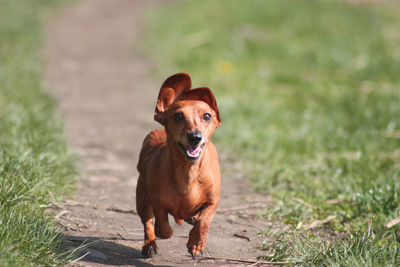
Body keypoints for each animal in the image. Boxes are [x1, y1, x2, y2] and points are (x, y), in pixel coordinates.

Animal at [136, 73, 220, 260]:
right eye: (178, 116)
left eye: (207, 116)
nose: (195, 137)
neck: (188, 172)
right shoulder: (157, 203)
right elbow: (163, 228)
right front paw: (163, 231)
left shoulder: (213, 201)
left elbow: (203, 222)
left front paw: (195, 244)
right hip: (142, 198)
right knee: (147, 223)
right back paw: (149, 245)